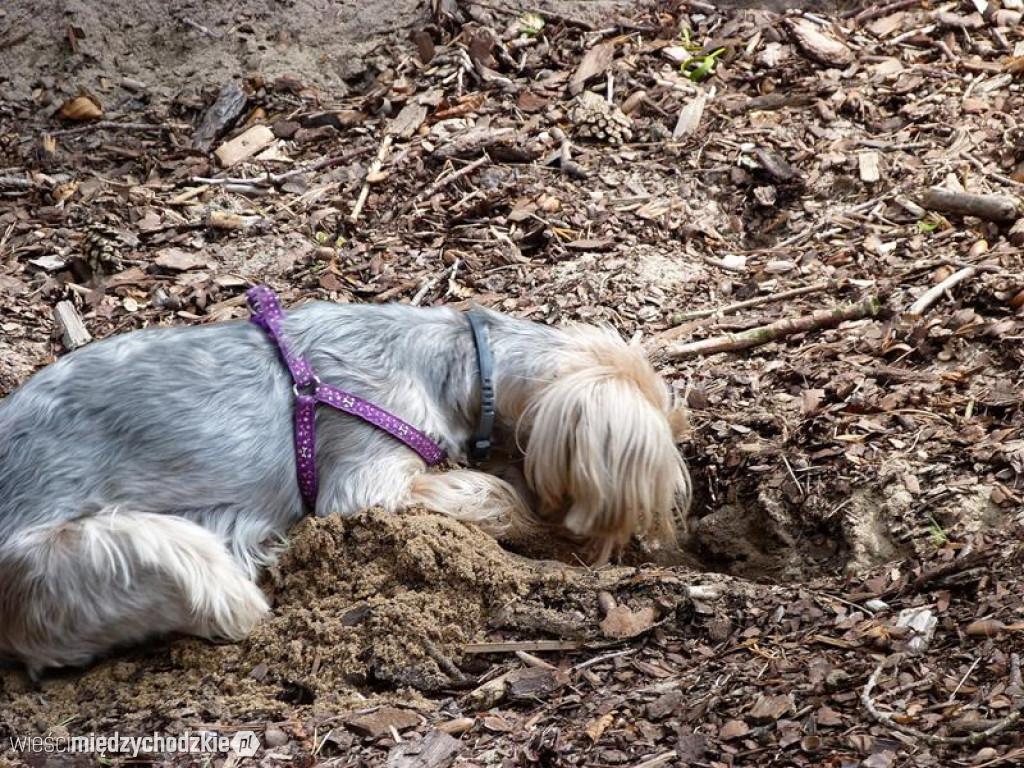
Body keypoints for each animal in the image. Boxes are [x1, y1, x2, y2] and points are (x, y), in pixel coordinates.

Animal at [0, 290, 696, 675]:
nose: (629, 548)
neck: (463, 365)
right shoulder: (366, 485)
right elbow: (486, 494)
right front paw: (530, 524)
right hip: (103, 557)